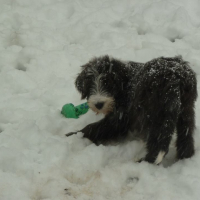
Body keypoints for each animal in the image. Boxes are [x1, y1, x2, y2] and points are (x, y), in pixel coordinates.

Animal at [66, 55, 198, 164]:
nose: (99, 104)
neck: (124, 85)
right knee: (186, 132)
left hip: (157, 112)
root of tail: (175, 76)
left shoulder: (121, 117)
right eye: (89, 85)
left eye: (108, 84)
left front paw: (72, 135)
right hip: (186, 108)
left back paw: (145, 161)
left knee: (158, 141)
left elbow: (95, 128)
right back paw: (184, 157)